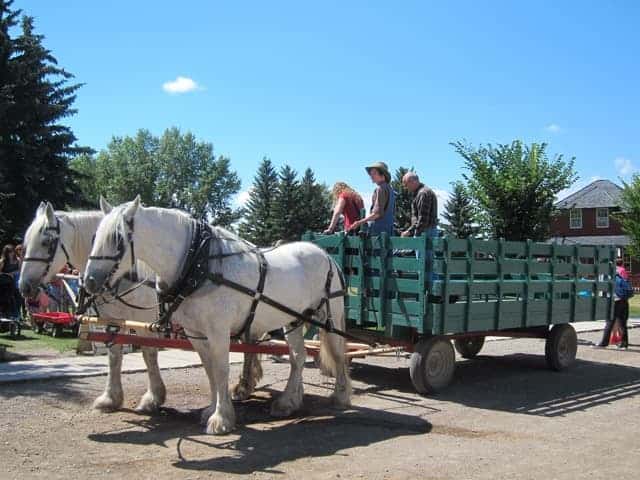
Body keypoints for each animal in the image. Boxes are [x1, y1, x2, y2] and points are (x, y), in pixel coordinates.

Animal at [83, 196, 352, 436]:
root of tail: (325, 254)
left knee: (338, 354)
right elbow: (210, 370)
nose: (89, 282)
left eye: (117, 239)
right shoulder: (196, 334)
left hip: (329, 317)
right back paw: (288, 402)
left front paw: (221, 419)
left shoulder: (219, 332)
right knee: (298, 357)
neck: (199, 264)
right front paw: (212, 409)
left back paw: (340, 396)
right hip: (293, 319)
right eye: (94, 237)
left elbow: (221, 370)